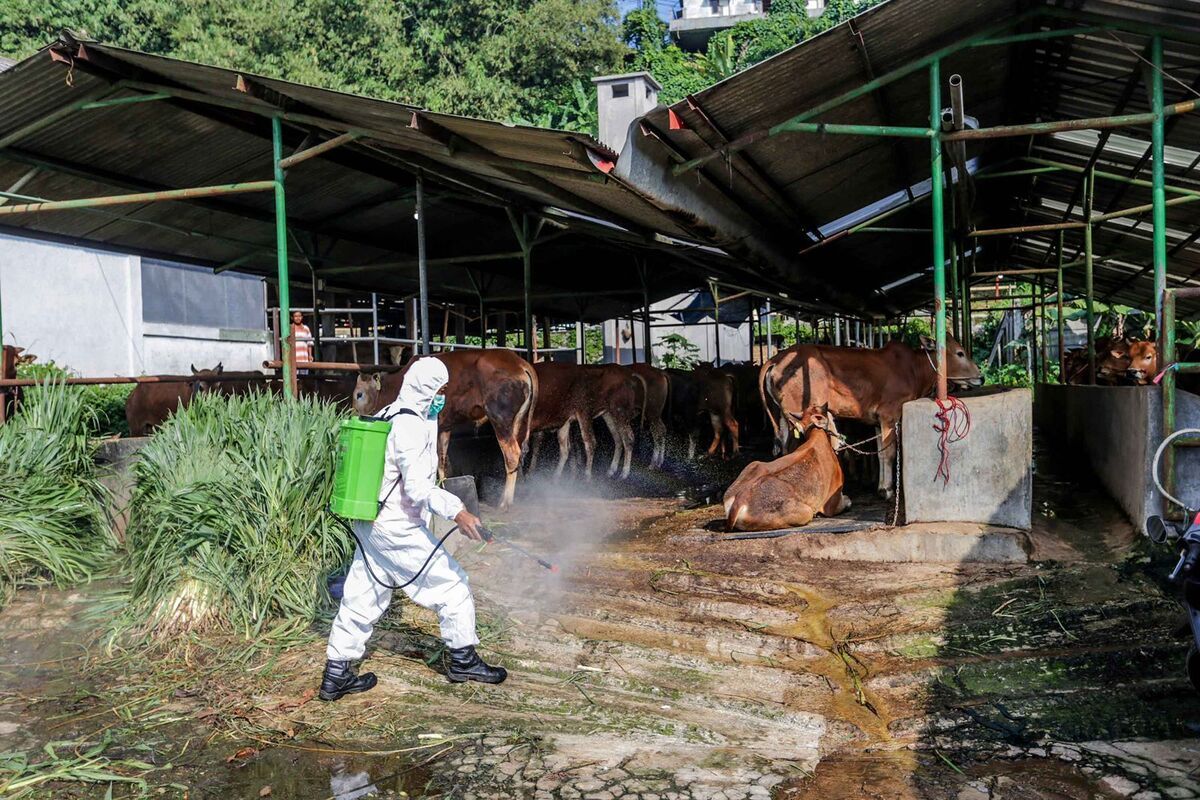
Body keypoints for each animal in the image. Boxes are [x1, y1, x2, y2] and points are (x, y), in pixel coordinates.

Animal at [350, 347, 535, 506]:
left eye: (359, 394)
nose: (351, 413)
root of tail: (520, 364)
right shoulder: (445, 427)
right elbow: (443, 459)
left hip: (500, 420)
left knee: (512, 455)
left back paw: (505, 502)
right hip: (516, 422)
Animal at [715, 407, 849, 532]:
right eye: (833, 419)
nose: (840, 443)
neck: (817, 436)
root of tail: (741, 499)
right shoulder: (832, 504)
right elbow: (847, 501)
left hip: (754, 464)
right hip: (805, 512)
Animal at [763, 335, 979, 496]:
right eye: (960, 352)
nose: (980, 376)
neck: (913, 370)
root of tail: (776, 360)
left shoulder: (877, 421)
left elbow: (880, 453)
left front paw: (881, 486)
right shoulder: (889, 415)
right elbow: (889, 453)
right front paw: (888, 490)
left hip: (785, 418)